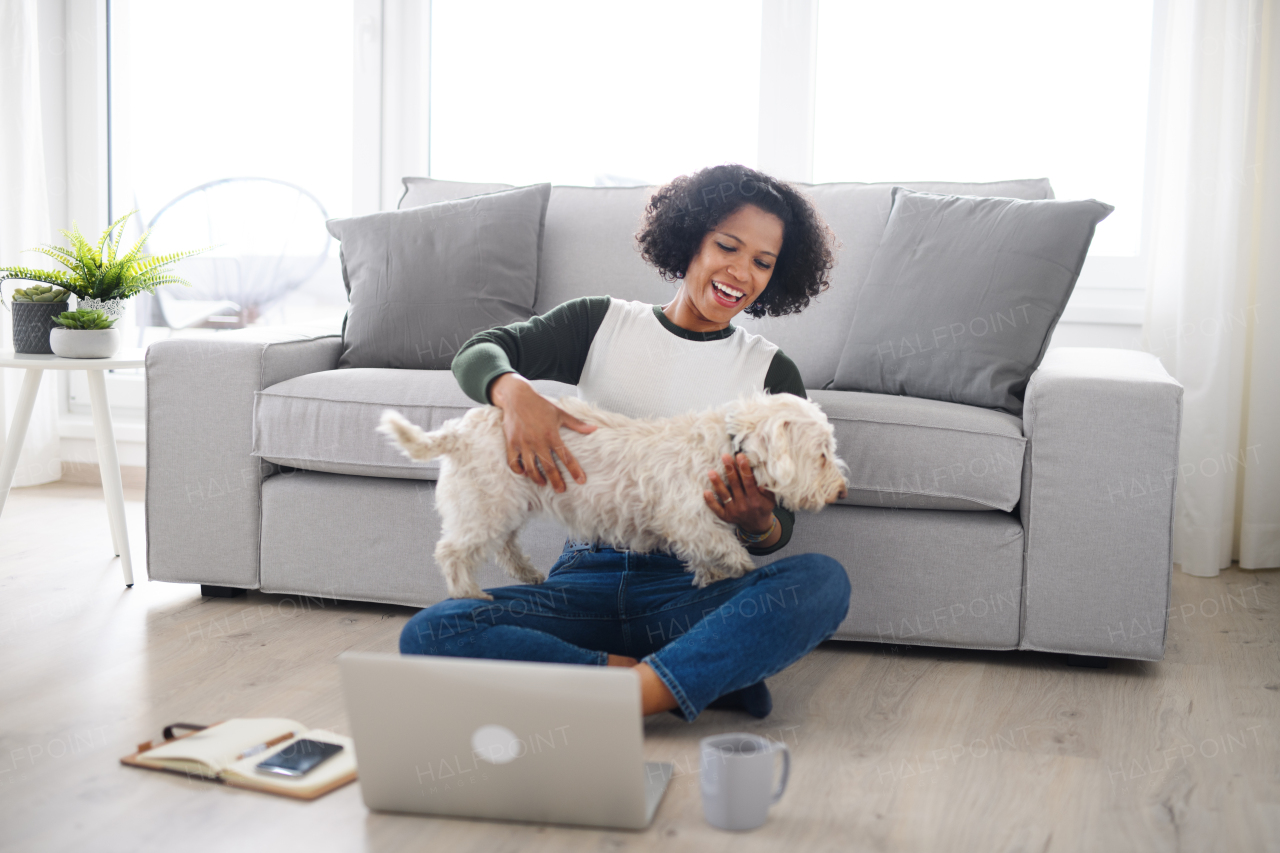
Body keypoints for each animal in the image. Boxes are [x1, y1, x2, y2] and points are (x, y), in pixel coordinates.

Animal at [373, 391, 844, 596]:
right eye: (822, 453)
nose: (840, 490)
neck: (729, 443)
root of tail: (456, 432)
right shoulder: (688, 518)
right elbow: (726, 547)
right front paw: (739, 569)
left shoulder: (699, 525)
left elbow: (708, 554)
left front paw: (710, 578)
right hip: (486, 506)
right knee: (451, 553)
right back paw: (468, 594)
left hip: (505, 506)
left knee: (504, 548)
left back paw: (529, 574)